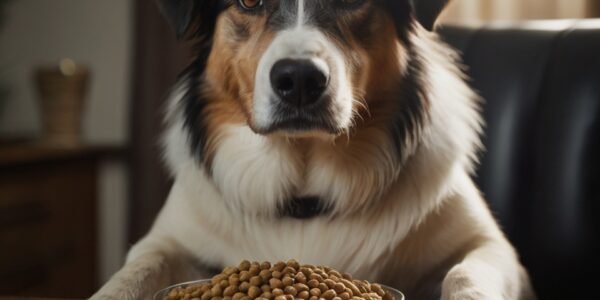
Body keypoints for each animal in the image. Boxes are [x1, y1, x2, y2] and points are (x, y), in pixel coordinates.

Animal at [92, 0, 536, 298]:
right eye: (249, 1)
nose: (300, 80)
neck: (304, 196)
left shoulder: (491, 248)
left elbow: (464, 275)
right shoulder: (167, 239)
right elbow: (133, 272)